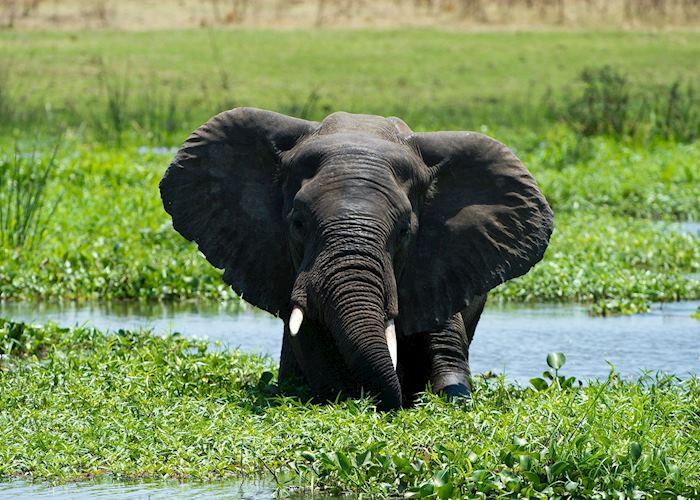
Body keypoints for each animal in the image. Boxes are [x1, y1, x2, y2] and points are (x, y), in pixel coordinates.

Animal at [160, 107, 553, 410]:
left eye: (405, 231)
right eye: (297, 223)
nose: (392, 403)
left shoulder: (443, 263)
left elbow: (445, 338)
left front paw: (451, 397)